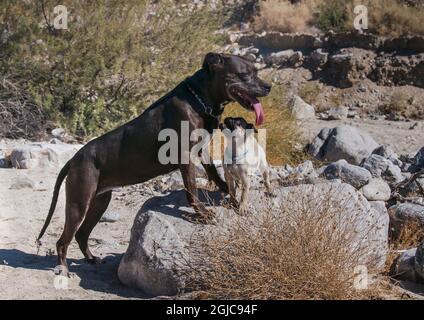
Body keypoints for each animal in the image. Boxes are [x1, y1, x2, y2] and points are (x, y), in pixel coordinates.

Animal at [37, 52, 272, 276]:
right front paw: (202, 213)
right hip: (79, 203)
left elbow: (212, 170)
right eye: (244, 74)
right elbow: (191, 190)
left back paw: (91, 259)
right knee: (63, 240)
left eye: (255, 71)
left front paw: (224, 188)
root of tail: (75, 158)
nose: (268, 86)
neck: (198, 98)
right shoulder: (185, 157)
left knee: (82, 234)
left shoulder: (200, 148)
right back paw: (63, 269)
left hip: (99, 202)